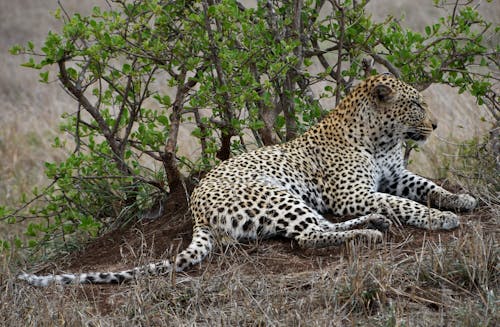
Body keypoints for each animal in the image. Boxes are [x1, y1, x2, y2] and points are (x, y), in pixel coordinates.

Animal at [18, 74, 476, 288]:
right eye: (416, 105)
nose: (435, 125)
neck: (381, 138)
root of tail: (197, 210)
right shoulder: (353, 193)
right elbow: (404, 203)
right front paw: (440, 220)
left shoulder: (396, 175)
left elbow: (426, 188)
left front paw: (461, 200)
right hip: (276, 194)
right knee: (309, 236)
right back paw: (369, 234)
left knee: (317, 228)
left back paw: (373, 226)